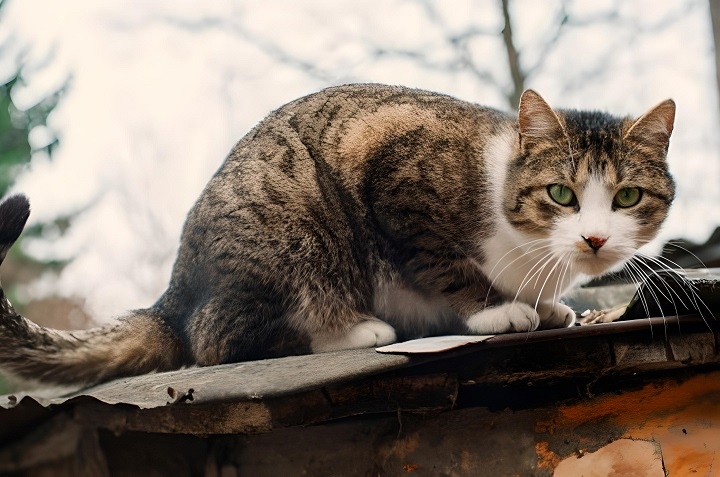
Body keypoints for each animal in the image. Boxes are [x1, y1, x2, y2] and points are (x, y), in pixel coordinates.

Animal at [0, 84, 676, 386]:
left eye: (627, 198)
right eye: (561, 194)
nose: (594, 240)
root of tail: (173, 293)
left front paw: (549, 307)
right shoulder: (395, 179)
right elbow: (441, 262)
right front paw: (497, 310)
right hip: (297, 233)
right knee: (219, 340)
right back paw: (354, 330)